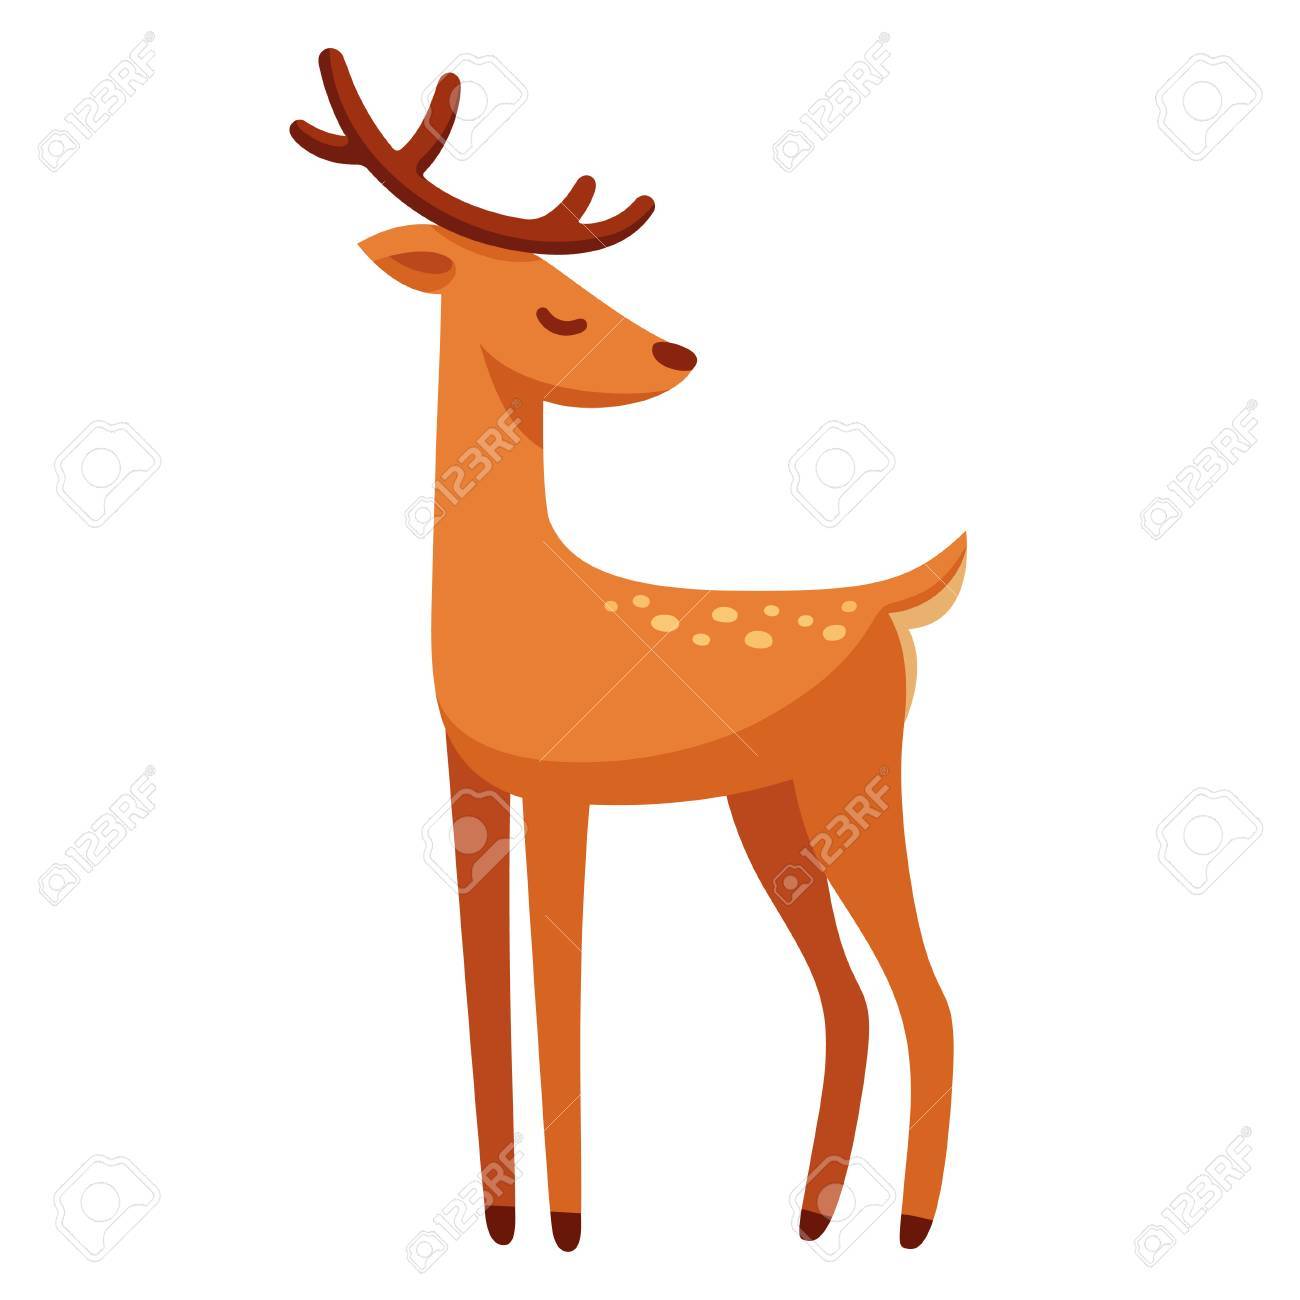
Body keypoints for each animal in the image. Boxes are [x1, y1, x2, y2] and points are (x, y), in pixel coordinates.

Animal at [291, 49, 966, 1255]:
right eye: (559, 311)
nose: (677, 350)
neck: (521, 609)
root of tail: (900, 599)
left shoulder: (567, 785)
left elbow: (558, 996)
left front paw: (565, 1224)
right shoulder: (470, 779)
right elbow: (486, 994)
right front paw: (502, 1220)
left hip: (860, 776)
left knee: (928, 996)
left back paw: (911, 1227)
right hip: (775, 808)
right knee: (847, 996)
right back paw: (808, 1213)